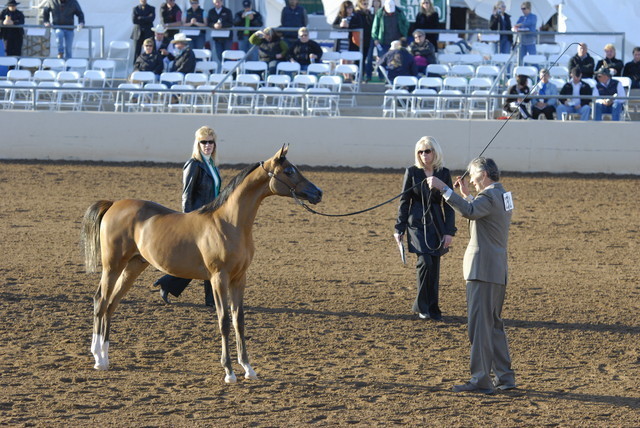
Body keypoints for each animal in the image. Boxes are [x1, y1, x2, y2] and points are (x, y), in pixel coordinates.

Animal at [81, 146, 322, 383]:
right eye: (289, 171)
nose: (318, 192)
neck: (229, 223)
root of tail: (113, 204)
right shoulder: (218, 278)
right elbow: (224, 321)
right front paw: (229, 372)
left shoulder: (239, 278)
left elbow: (239, 320)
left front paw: (248, 368)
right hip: (112, 266)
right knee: (100, 301)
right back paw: (98, 358)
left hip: (133, 266)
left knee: (112, 304)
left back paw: (105, 356)